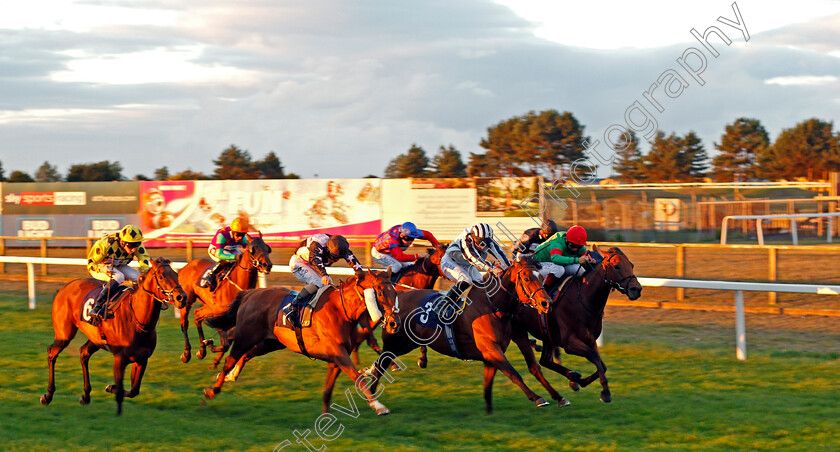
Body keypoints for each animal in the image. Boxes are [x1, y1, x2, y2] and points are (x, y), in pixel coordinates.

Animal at [40, 256, 185, 414]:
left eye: (176, 275)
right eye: (161, 276)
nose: (181, 297)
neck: (138, 320)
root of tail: (65, 287)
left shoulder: (142, 359)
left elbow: (134, 390)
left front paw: (110, 387)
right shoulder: (119, 359)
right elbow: (122, 389)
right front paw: (112, 388)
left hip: (95, 338)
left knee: (83, 353)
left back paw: (86, 396)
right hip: (64, 333)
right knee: (52, 352)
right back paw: (48, 395)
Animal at [177, 233, 272, 364]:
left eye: (267, 248)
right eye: (252, 249)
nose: (267, 265)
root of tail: (186, 266)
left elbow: (231, 341)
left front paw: (210, 349)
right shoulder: (218, 313)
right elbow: (225, 344)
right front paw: (210, 344)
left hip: (209, 306)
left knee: (197, 314)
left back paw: (202, 351)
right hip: (187, 301)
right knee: (184, 323)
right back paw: (187, 353)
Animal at [203, 270, 400, 414]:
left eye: (395, 292)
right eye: (380, 292)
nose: (394, 323)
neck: (342, 311)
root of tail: (249, 294)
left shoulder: (336, 359)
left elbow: (328, 390)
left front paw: (325, 418)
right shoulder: (339, 354)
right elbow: (358, 378)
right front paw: (379, 406)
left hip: (271, 342)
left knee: (245, 356)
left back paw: (231, 376)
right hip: (245, 336)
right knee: (230, 360)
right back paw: (213, 389)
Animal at [370, 254, 556, 414]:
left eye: (541, 277)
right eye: (526, 278)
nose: (546, 302)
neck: (492, 307)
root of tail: (397, 298)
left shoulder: (490, 356)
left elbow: (489, 383)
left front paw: (489, 411)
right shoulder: (491, 349)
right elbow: (513, 373)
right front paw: (538, 398)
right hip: (396, 344)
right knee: (380, 364)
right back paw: (373, 397)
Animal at [512, 245, 644, 404]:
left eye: (631, 265)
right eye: (616, 266)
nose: (636, 289)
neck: (583, 300)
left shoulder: (590, 339)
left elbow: (602, 365)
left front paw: (577, 381)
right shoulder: (569, 342)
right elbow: (594, 356)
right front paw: (605, 392)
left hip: (548, 335)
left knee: (545, 361)